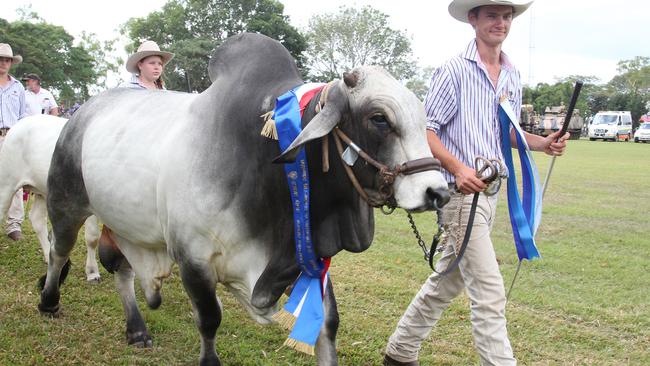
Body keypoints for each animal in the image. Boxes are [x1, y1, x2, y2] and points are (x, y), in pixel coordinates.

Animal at [0, 116, 101, 282]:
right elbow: (92, 237)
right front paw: (92, 273)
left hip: (42, 191)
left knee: (36, 218)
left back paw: (49, 256)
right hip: (7, 183)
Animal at [38, 33, 448, 364]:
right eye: (379, 118)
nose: (438, 191)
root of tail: (83, 112)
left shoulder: (307, 259)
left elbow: (327, 324)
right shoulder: (193, 256)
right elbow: (209, 318)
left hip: (127, 224)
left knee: (121, 267)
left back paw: (137, 329)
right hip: (66, 200)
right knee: (59, 253)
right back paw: (48, 300)